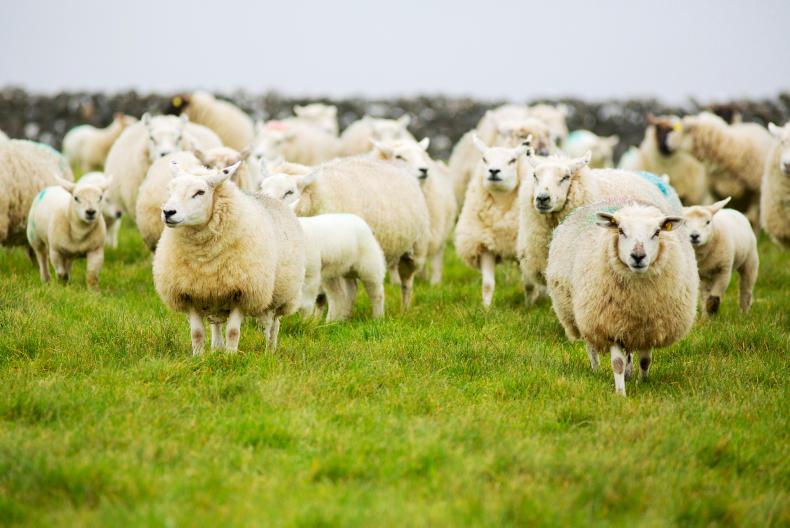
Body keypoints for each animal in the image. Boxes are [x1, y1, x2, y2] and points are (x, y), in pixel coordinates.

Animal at [153, 160, 304, 354]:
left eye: (200, 192)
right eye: (170, 190)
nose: (168, 212)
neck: (204, 260)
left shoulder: (243, 292)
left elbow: (233, 331)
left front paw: (231, 355)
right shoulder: (188, 293)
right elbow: (197, 333)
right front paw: (198, 356)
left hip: (280, 295)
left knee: (273, 326)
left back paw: (270, 350)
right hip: (213, 296)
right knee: (216, 324)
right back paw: (217, 347)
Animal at [258, 157, 430, 309]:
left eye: (289, 192)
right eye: (261, 188)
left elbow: (320, 297)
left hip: (414, 251)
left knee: (406, 283)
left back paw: (404, 309)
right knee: (351, 288)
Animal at [370, 138, 458, 285]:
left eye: (422, 155)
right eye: (398, 156)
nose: (424, 169)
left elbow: (434, 260)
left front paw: (434, 284)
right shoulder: (396, 235)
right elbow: (395, 264)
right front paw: (395, 284)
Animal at [454, 135, 529, 307]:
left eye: (512, 160)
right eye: (484, 159)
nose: (494, 171)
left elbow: (530, 283)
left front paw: (531, 306)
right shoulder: (484, 244)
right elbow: (487, 284)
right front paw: (486, 309)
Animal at [546, 201, 698, 396]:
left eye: (657, 232)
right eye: (620, 230)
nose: (638, 256)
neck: (637, 299)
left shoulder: (649, 327)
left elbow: (645, 361)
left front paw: (642, 383)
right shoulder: (610, 325)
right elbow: (617, 363)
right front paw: (620, 394)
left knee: (630, 354)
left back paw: (629, 372)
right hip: (583, 314)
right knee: (591, 346)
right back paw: (596, 370)